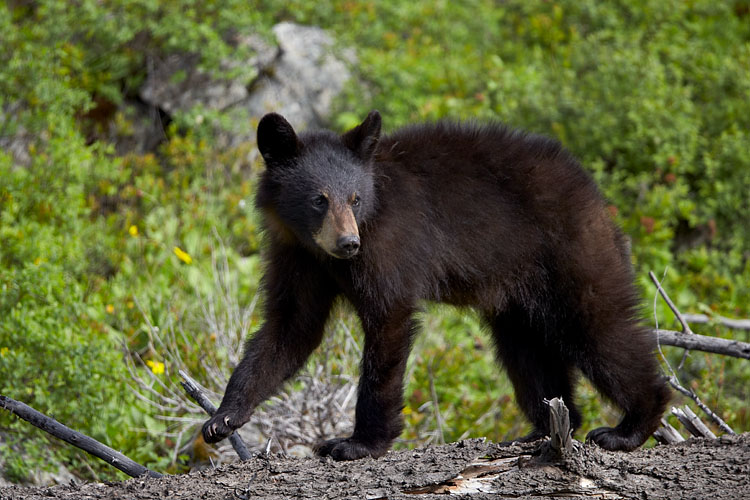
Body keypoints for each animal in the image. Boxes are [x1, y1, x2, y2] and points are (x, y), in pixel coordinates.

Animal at [202, 110, 670, 460]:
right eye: (319, 199)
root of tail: (594, 191)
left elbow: (388, 324)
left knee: (600, 327)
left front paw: (357, 443)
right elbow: (290, 328)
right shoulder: (297, 257)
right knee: (528, 354)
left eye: (355, 198)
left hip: (570, 254)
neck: (324, 253)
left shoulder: (388, 244)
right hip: (519, 294)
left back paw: (629, 426)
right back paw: (542, 430)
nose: (349, 243)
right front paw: (223, 417)